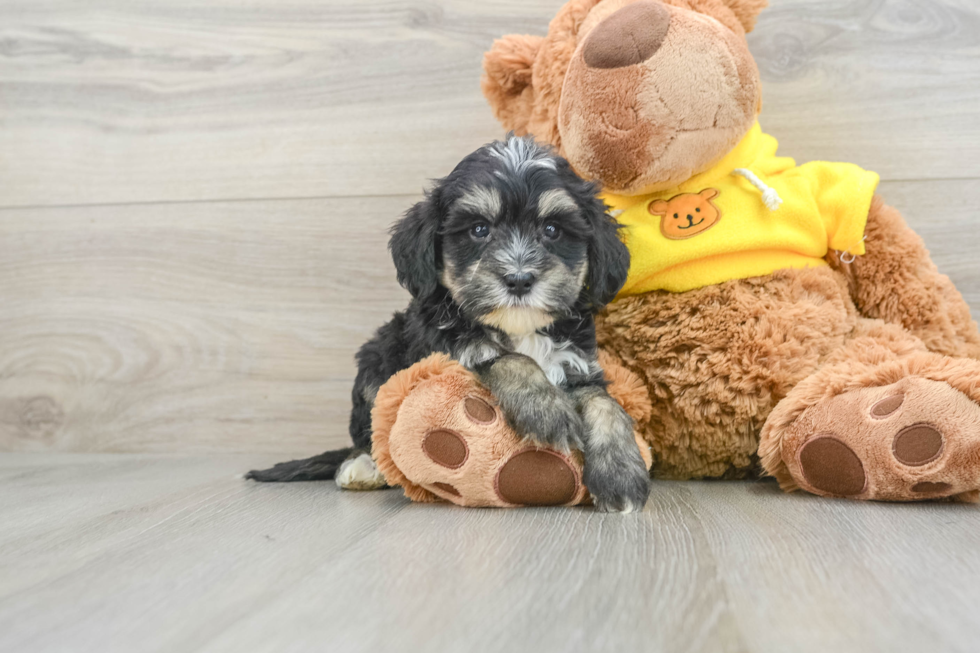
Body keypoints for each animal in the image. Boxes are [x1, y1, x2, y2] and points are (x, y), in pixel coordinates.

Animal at [249, 136, 652, 510]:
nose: (519, 279)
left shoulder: (578, 363)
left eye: (553, 230)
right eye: (479, 229)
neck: (519, 329)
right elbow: (508, 358)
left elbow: (605, 403)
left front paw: (621, 472)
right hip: (377, 358)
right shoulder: (447, 352)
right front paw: (548, 411)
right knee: (368, 433)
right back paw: (364, 467)